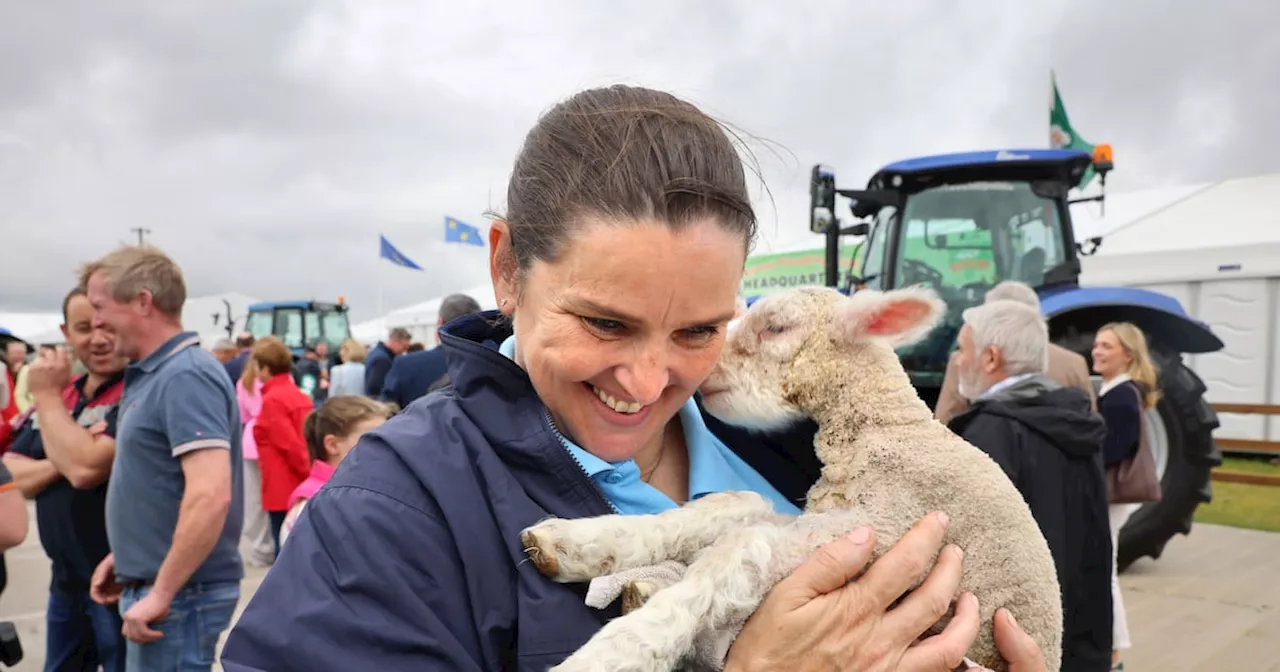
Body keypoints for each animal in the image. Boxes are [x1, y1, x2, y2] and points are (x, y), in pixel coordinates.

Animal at [517, 284, 1059, 670]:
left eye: (776, 327)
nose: (707, 372)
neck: (882, 432)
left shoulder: (889, 521)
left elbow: (742, 549)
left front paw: (608, 654)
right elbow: (734, 505)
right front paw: (571, 543)